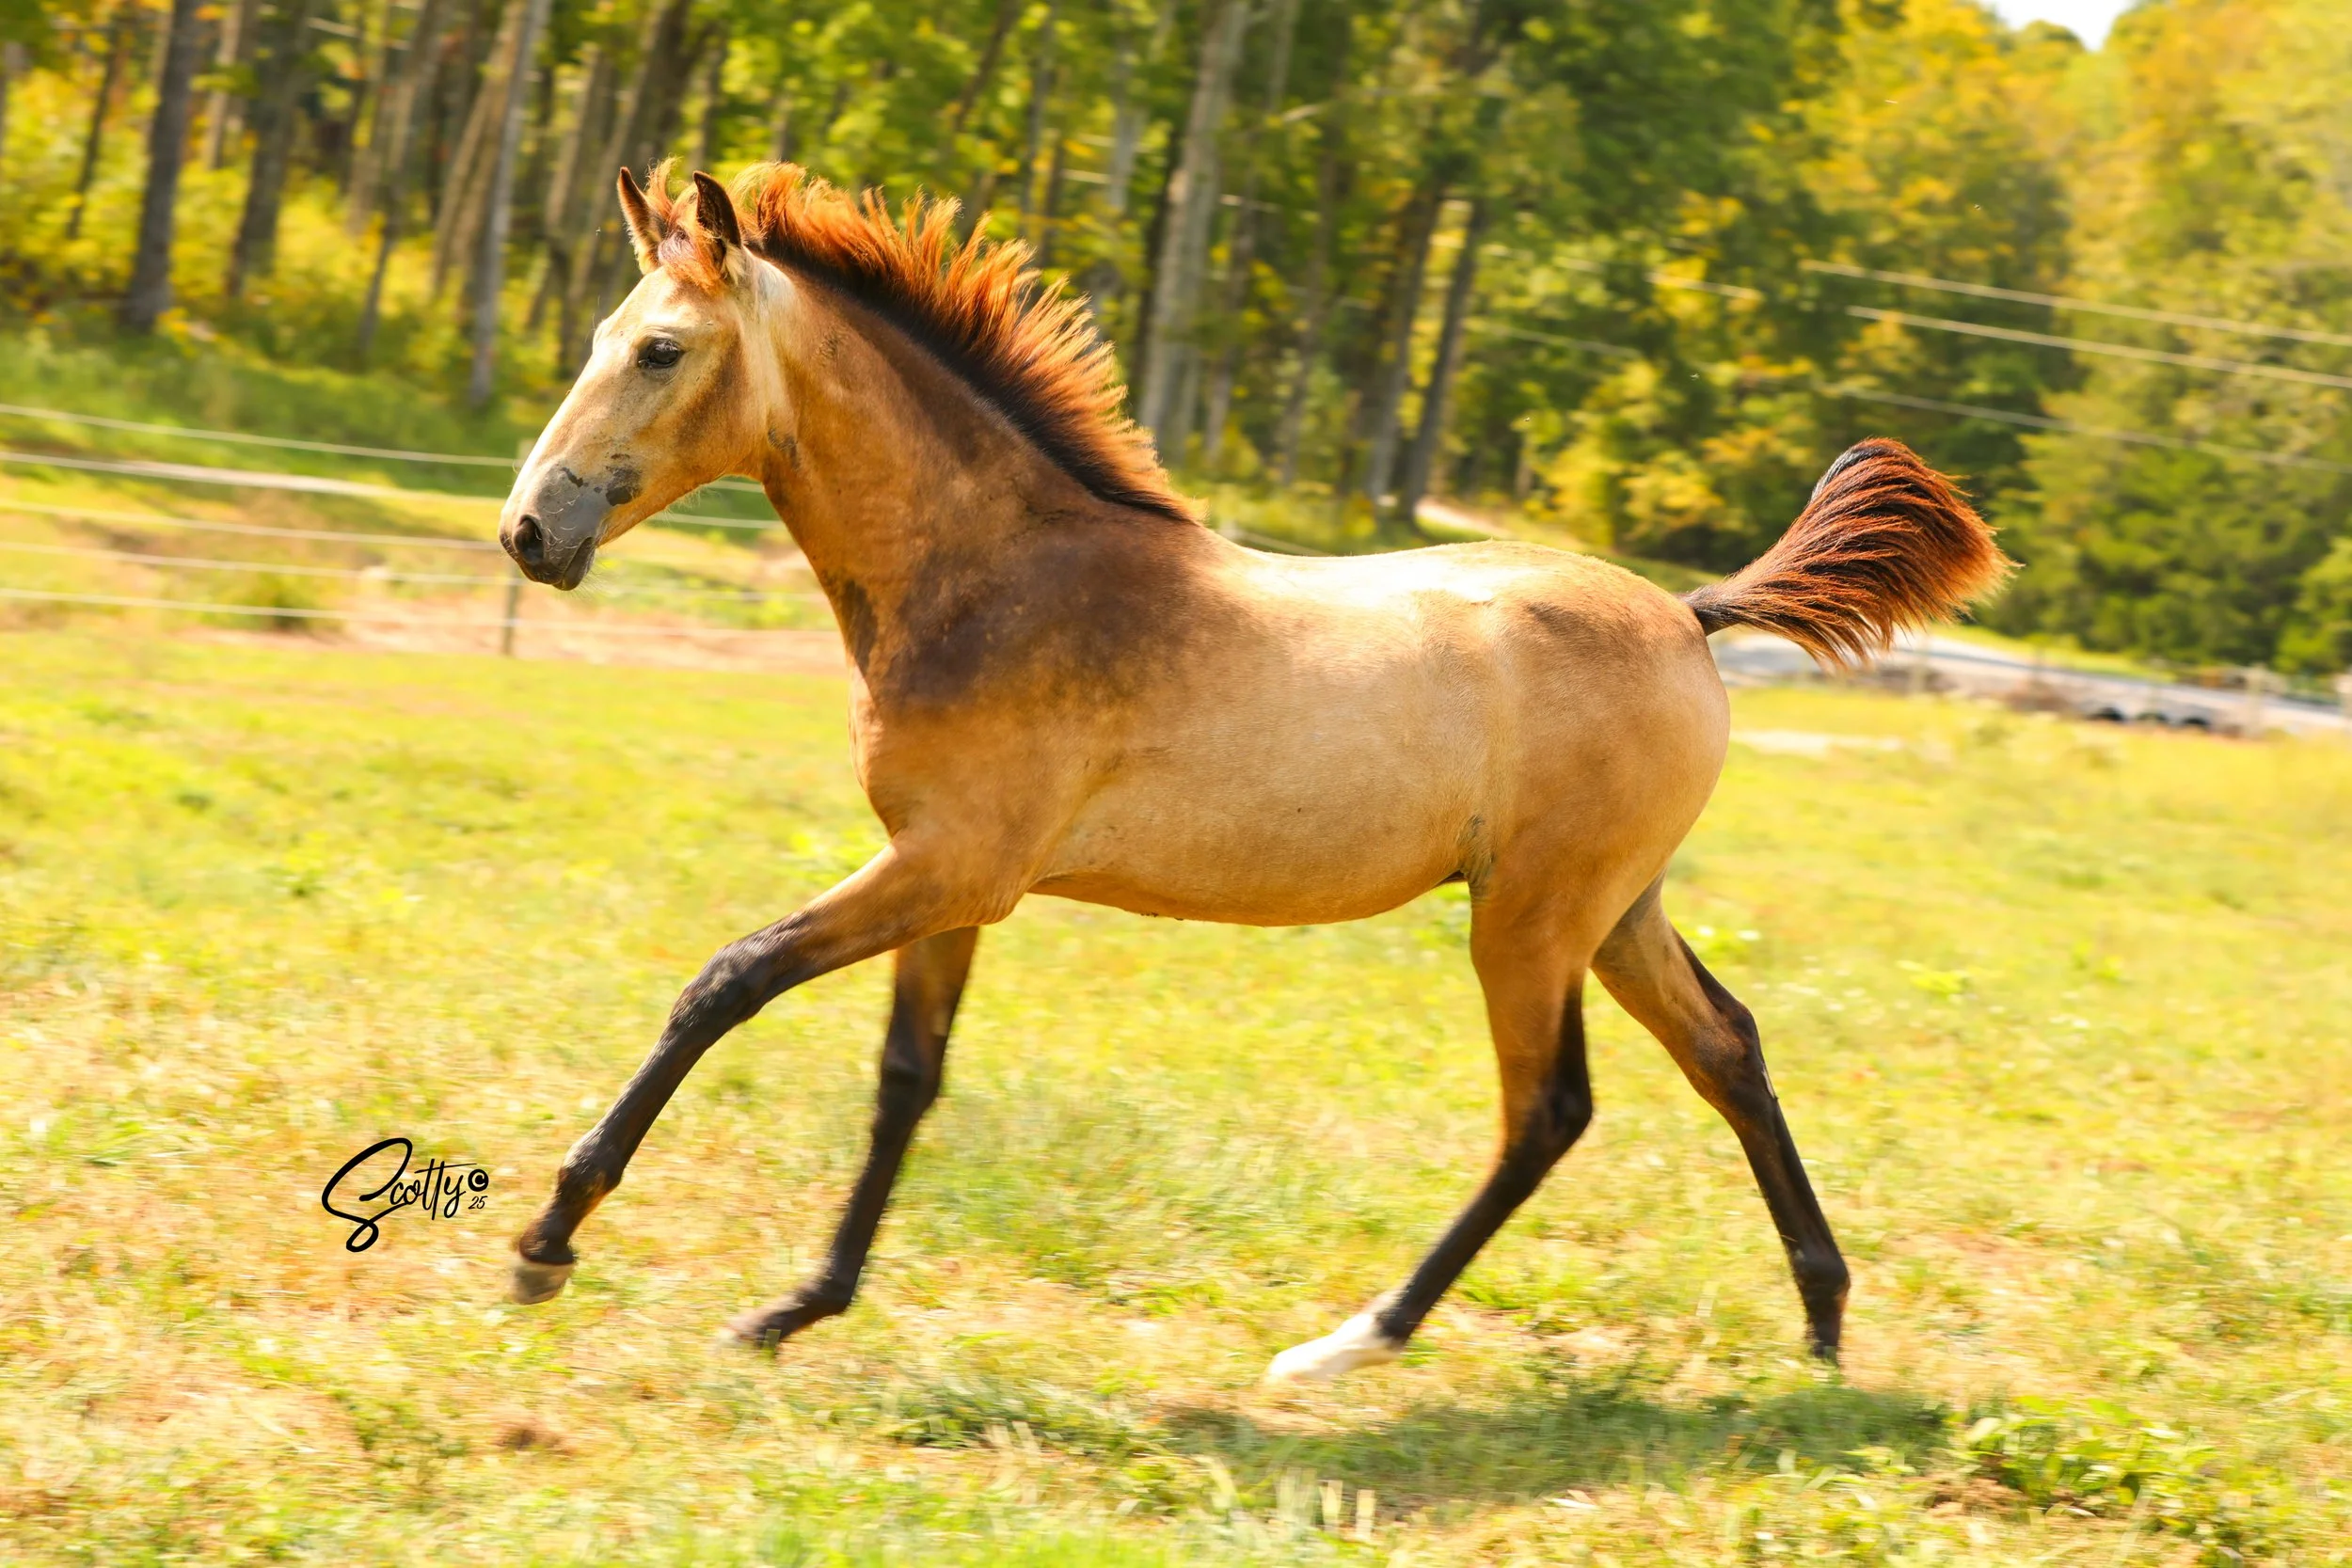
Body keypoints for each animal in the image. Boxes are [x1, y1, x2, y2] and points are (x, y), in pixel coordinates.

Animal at [497, 162, 2008, 1382]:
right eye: (605, 337)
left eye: (660, 348)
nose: (528, 531)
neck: (999, 574)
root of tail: (1691, 616)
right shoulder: (955, 882)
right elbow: (905, 1077)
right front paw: (798, 1306)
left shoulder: (945, 864)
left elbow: (726, 980)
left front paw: (549, 1234)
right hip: (1612, 910)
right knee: (1728, 1049)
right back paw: (1821, 1320)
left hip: (1529, 924)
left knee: (1549, 1110)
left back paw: (1352, 1341)